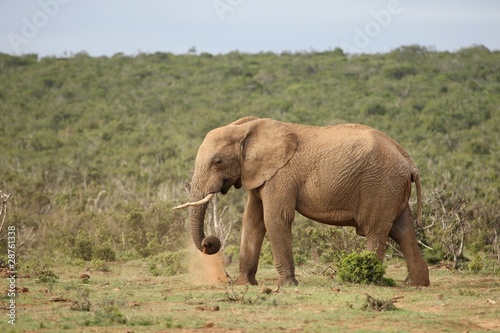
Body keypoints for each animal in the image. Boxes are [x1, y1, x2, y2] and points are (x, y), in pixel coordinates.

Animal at [176, 116, 430, 286]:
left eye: (217, 162)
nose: (209, 243)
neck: (247, 128)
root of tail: (410, 163)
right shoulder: (259, 175)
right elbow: (253, 221)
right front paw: (245, 285)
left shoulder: (281, 174)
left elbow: (275, 219)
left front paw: (286, 286)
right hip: (393, 189)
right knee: (404, 231)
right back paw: (415, 284)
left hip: (381, 187)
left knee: (376, 231)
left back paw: (367, 281)